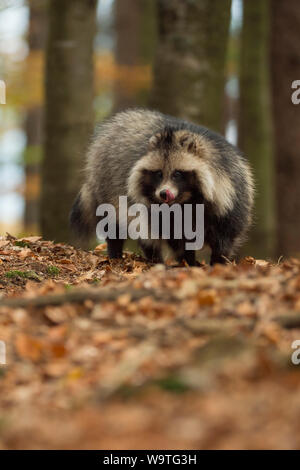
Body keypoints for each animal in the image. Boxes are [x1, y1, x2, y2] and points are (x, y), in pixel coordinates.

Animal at [69, 108, 253, 266]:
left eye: (177, 174)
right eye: (158, 173)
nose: (164, 194)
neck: (188, 201)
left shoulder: (231, 197)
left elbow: (224, 238)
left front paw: (218, 262)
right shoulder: (162, 214)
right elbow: (174, 237)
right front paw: (187, 262)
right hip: (107, 185)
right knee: (121, 224)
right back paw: (123, 255)